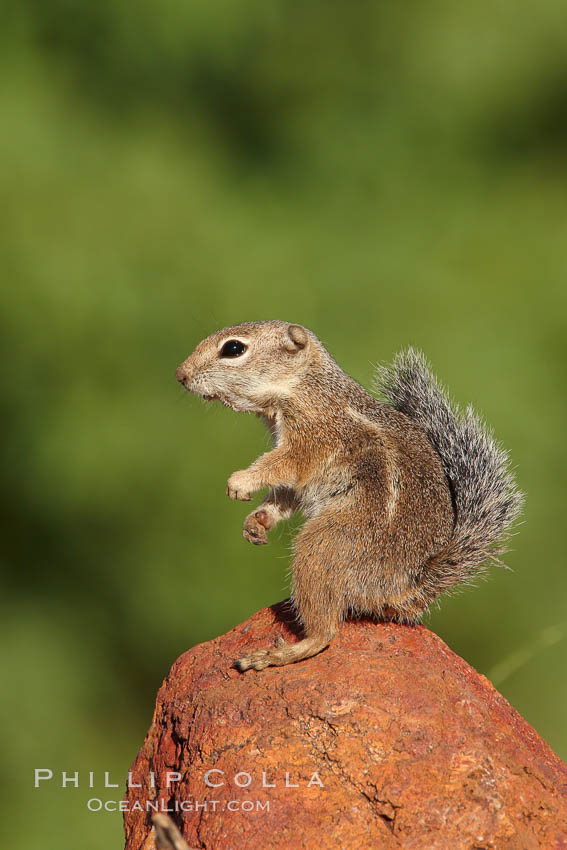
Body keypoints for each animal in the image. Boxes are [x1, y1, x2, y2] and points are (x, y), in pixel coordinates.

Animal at [175, 322, 524, 672]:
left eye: (233, 349)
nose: (180, 374)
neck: (305, 386)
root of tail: (404, 588)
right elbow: (285, 494)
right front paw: (257, 522)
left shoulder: (310, 440)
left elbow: (280, 466)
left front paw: (240, 482)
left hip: (322, 547)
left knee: (325, 633)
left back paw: (275, 655)